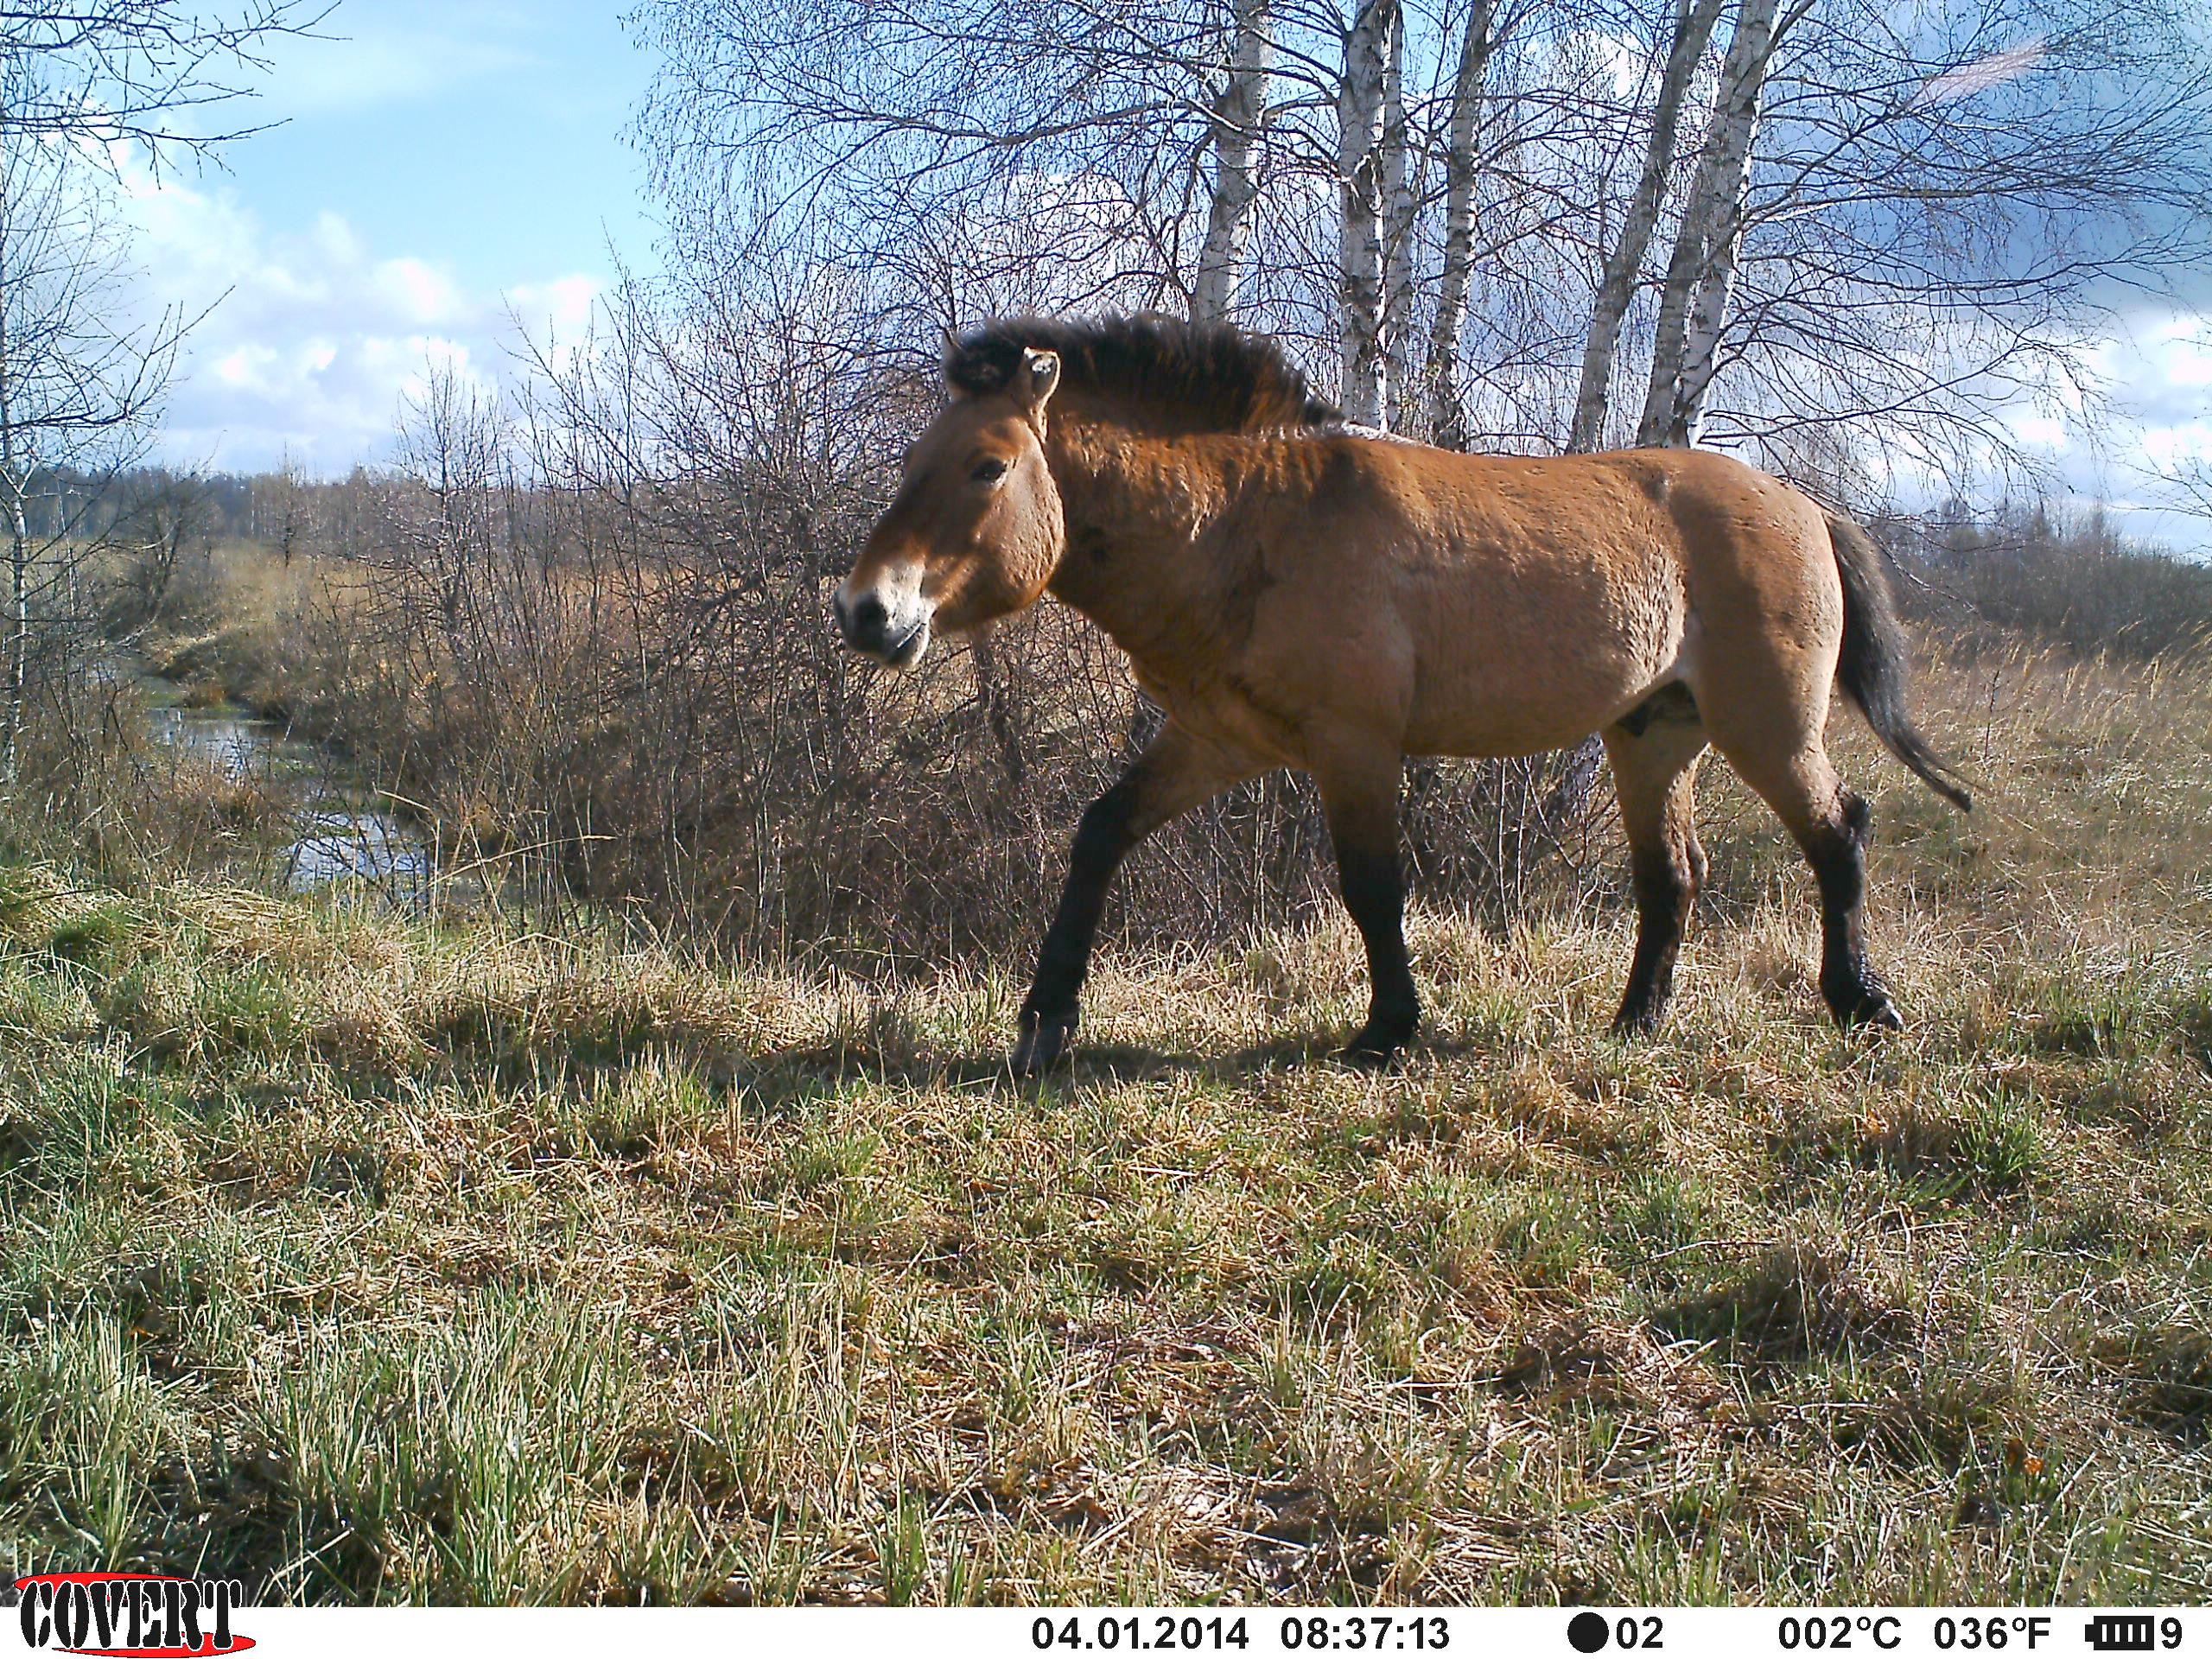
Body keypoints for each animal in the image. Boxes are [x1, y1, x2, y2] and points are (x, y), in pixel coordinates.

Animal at [831, 321, 1973, 1079]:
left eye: (988, 466)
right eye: (916, 459)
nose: (867, 613)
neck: (1252, 521)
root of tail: (1802, 504)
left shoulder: (1355, 747)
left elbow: (1372, 888)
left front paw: (1387, 1029)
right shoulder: (1218, 740)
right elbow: (1100, 834)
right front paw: (1044, 1022)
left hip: (1766, 727)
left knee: (1838, 833)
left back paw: (1860, 1003)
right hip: (1652, 738)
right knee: (1673, 878)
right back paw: (1636, 1023)